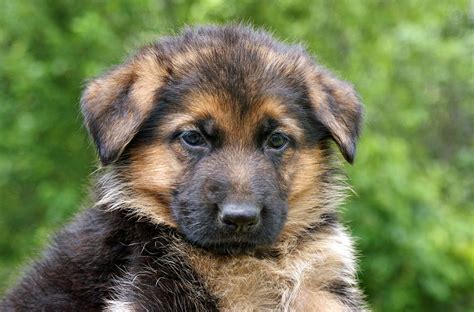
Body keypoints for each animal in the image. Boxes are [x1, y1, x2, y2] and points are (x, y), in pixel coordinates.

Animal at [0, 25, 366, 310]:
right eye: (192, 138)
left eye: (277, 140)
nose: (240, 218)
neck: (251, 257)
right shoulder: (149, 286)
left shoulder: (320, 285)